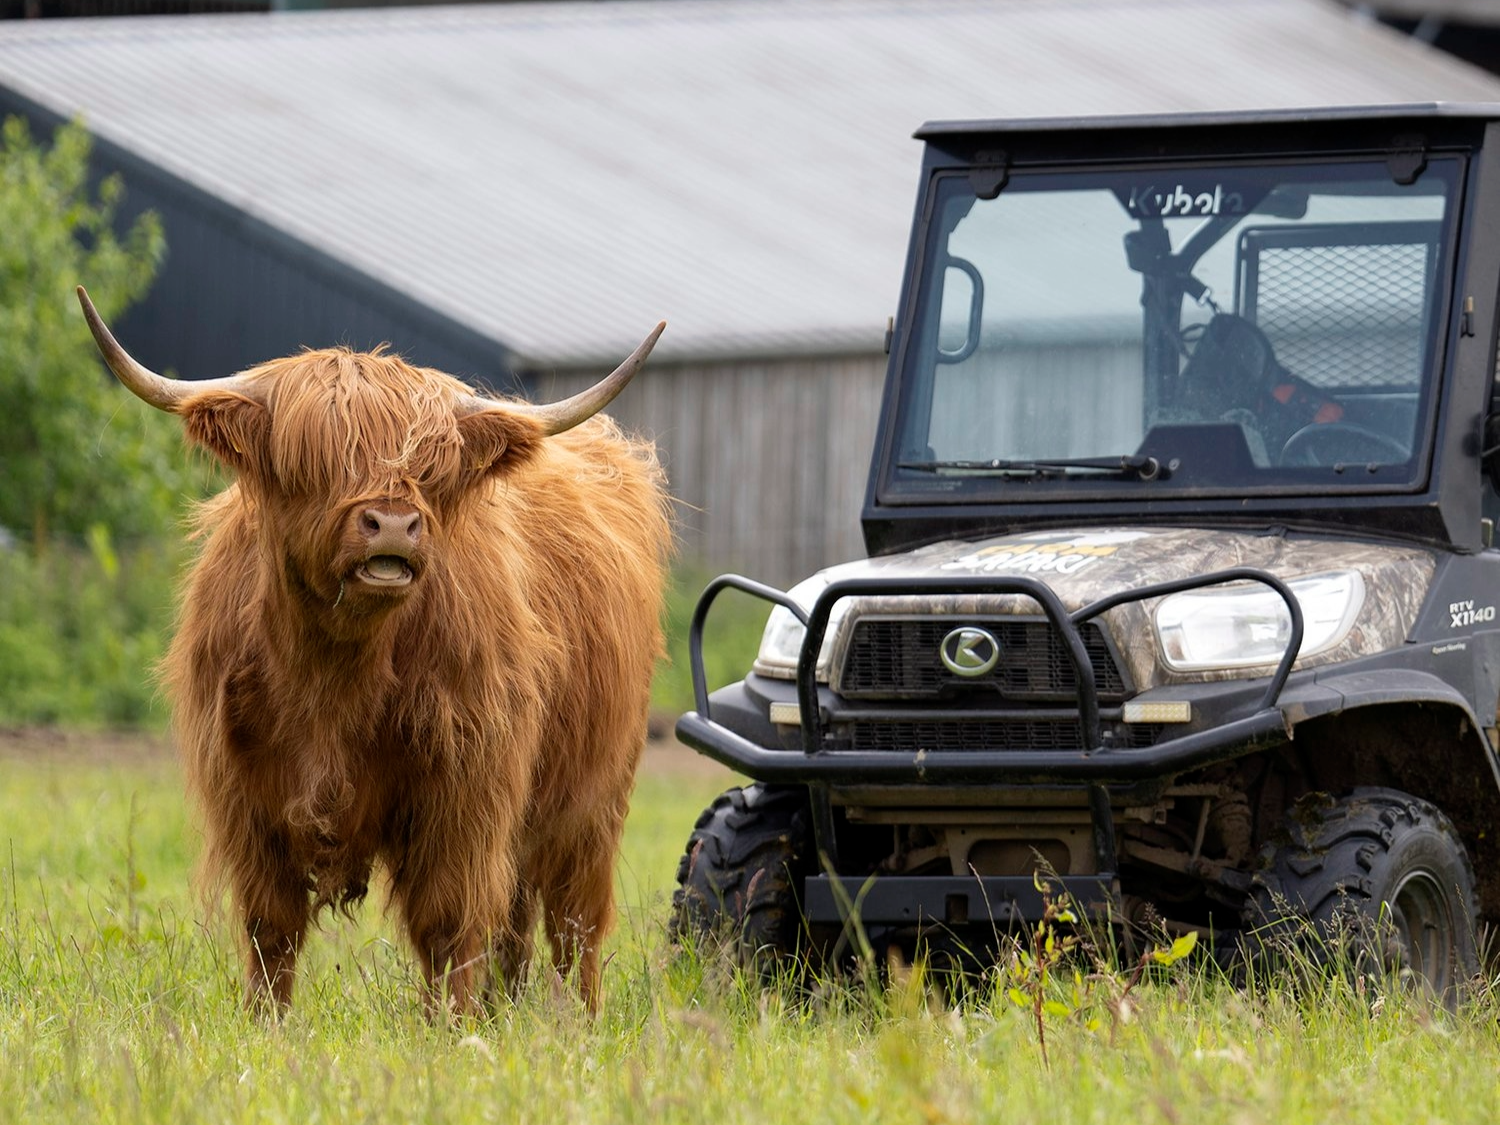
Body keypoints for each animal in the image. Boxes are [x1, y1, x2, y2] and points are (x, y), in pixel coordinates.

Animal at [77, 287, 674, 1017]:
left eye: (428, 469)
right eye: (314, 459)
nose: (392, 523)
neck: (332, 676)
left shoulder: (466, 791)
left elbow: (449, 922)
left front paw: (453, 1027)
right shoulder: (246, 797)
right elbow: (270, 928)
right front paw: (265, 1024)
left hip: (591, 800)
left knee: (573, 919)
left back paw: (573, 1021)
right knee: (517, 920)